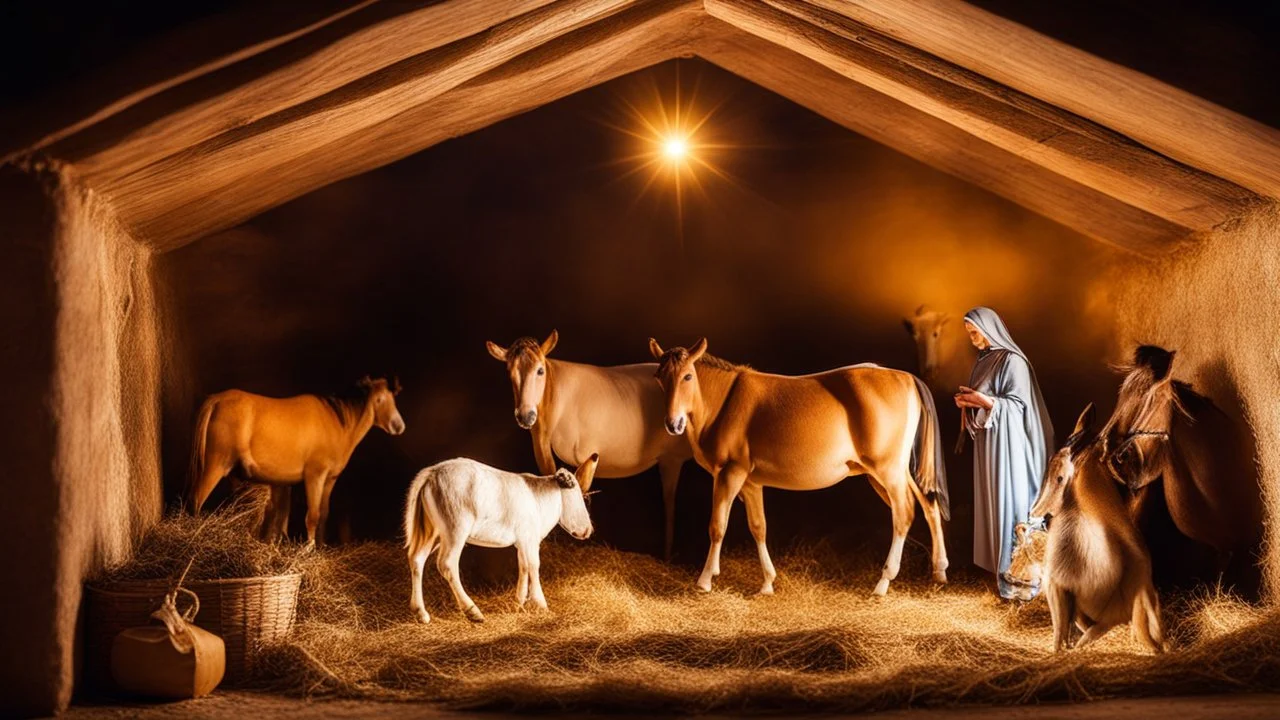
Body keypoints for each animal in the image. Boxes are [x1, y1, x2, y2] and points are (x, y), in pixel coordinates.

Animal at [185, 376, 401, 548]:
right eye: (379, 399)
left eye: (393, 399)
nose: (398, 425)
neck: (336, 422)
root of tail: (216, 400)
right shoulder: (315, 476)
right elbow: (312, 515)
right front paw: (309, 548)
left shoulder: (329, 480)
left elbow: (321, 514)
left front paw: (319, 547)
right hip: (214, 467)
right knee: (196, 499)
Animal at [401, 450, 596, 620]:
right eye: (578, 496)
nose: (588, 530)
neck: (539, 497)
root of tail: (432, 473)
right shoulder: (530, 539)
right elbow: (534, 566)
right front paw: (541, 604)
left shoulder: (522, 543)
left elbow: (523, 566)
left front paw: (519, 603)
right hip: (455, 529)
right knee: (447, 564)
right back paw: (472, 611)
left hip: (433, 533)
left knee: (417, 559)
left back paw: (421, 613)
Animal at [486, 330, 691, 561]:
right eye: (510, 373)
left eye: (540, 370)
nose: (525, 416)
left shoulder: (586, 453)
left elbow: (579, 486)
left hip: (672, 459)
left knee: (670, 501)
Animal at [655, 335, 947, 594]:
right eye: (660, 378)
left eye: (688, 376)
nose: (673, 424)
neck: (726, 400)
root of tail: (906, 377)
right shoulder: (751, 482)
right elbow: (759, 528)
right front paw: (767, 582)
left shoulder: (730, 473)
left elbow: (717, 525)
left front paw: (705, 580)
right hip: (896, 471)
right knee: (928, 504)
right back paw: (940, 570)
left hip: (887, 470)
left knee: (904, 513)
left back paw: (884, 581)